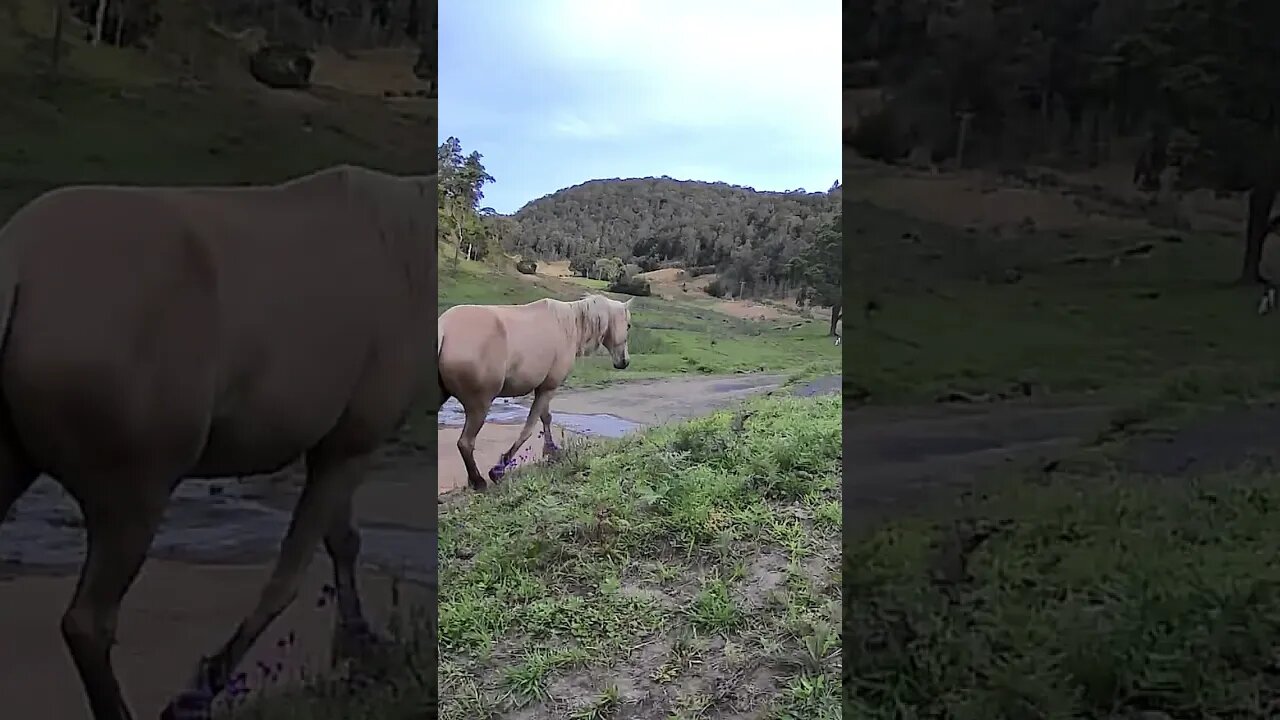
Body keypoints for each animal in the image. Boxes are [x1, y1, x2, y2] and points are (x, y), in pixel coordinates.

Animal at [0, 165, 435, 720]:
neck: (409, 252)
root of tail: (18, 262)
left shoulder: (336, 444)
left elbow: (342, 542)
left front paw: (359, 646)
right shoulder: (354, 442)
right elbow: (288, 575)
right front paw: (197, 691)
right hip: (135, 491)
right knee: (88, 622)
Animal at [437, 294, 633, 491]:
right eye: (628, 325)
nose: (624, 362)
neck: (568, 325)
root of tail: (444, 328)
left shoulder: (543, 388)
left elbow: (545, 418)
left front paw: (551, 450)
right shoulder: (548, 388)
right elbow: (529, 428)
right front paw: (499, 469)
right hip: (480, 405)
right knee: (465, 443)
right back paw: (478, 481)